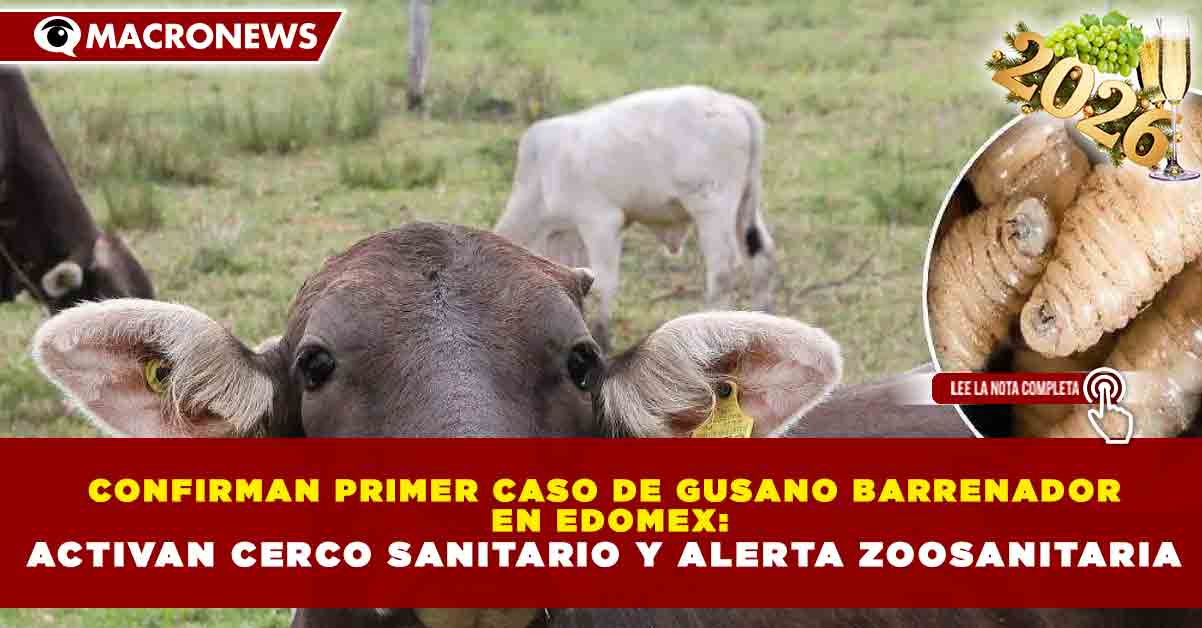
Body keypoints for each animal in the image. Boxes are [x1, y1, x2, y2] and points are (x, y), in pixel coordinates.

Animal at [495, 85, 776, 351]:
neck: (540, 180)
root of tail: (734, 105)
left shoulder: (601, 221)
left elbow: (603, 283)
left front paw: (602, 339)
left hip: (713, 208)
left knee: (722, 271)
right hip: (744, 206)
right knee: (761, 258)